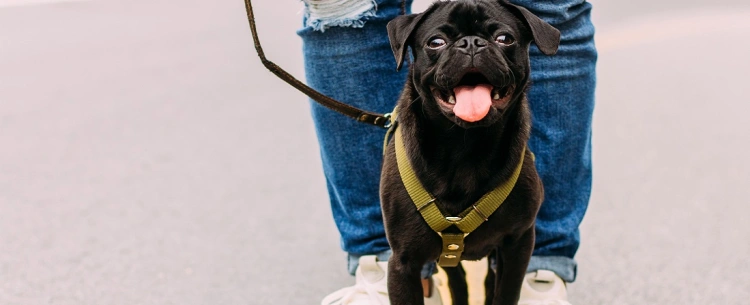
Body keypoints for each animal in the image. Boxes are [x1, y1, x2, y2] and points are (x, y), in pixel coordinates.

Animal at [382, 0, 560, 304]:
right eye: (436, 42)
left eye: (505, 38)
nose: (471, 43)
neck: (465, 146)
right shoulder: (403, 264)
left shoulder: (518, 244)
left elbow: (504, 293)